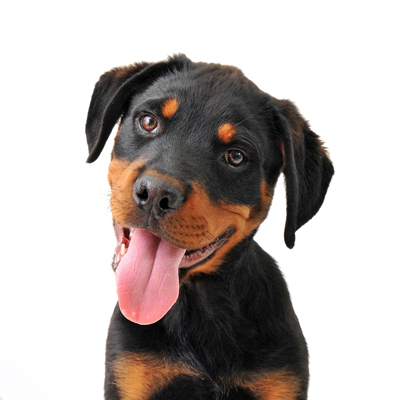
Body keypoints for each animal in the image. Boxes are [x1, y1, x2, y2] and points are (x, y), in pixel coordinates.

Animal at [86, 54, 332, 398]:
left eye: (236, 156)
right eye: (148, 121)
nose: (155, 194)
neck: (200, 308)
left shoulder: (279, 379)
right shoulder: (132, 372)